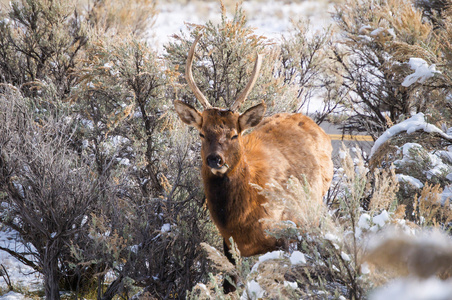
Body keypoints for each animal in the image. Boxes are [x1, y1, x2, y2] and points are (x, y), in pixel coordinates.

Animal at [175, 34, 334, 268]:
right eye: (202, 134)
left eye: (235, 134)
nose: (215, 159)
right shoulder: (229, 245)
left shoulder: (286, 231)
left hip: (313, 211)